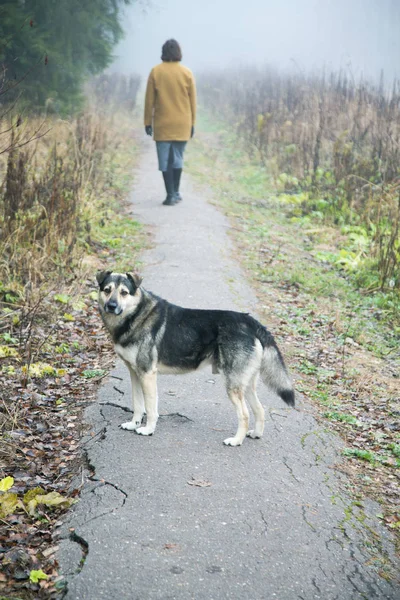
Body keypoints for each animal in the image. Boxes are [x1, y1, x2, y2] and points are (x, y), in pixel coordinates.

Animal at [96, 272, 294, 446]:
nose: (111, 306)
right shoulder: (135, 374)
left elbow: (151, 409)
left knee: (244, 415)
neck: (136, 315)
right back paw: (256, 434)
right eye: (107, 290)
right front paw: (133, 424)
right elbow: (138, 404)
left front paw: (148, 429)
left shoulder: (147, 374)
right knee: (260, 410)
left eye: (124, 292)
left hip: (233, 385)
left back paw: (236, 441)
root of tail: (252, 323)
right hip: (245, 385)